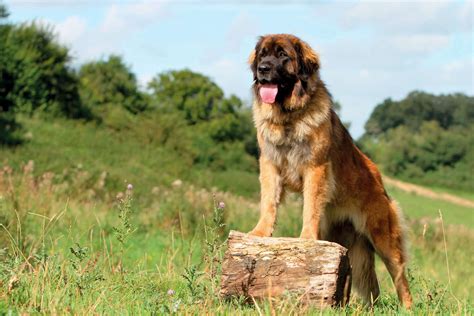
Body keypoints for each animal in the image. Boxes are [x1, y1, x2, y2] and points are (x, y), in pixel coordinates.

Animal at [248, 33, 412, 308]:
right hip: (344, 243)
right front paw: (260, 233)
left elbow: (310, 207)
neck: (289, 118)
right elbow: (268, 201)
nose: (263, 69)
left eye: (283, 55)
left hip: (383, 237)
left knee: (400, 276)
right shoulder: (270, 164)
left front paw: (305, 238)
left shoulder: (315, 168)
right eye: (263, 55)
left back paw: (409, 307)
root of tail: (378, 178)